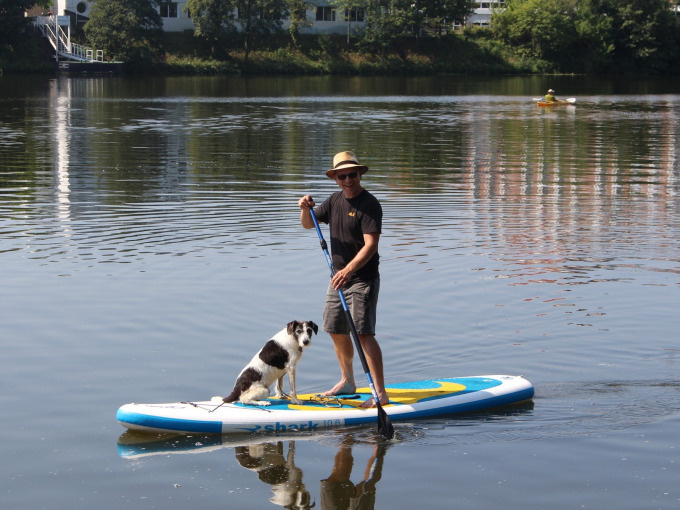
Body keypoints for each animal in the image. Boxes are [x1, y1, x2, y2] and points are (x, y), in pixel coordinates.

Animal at [308, 207, 394, 438]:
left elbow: (369, 243)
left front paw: (343, 274)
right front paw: (306, 203)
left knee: (365, 341)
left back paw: (379, 400)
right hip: (337, 306)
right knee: (338, 333)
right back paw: (344, 389)